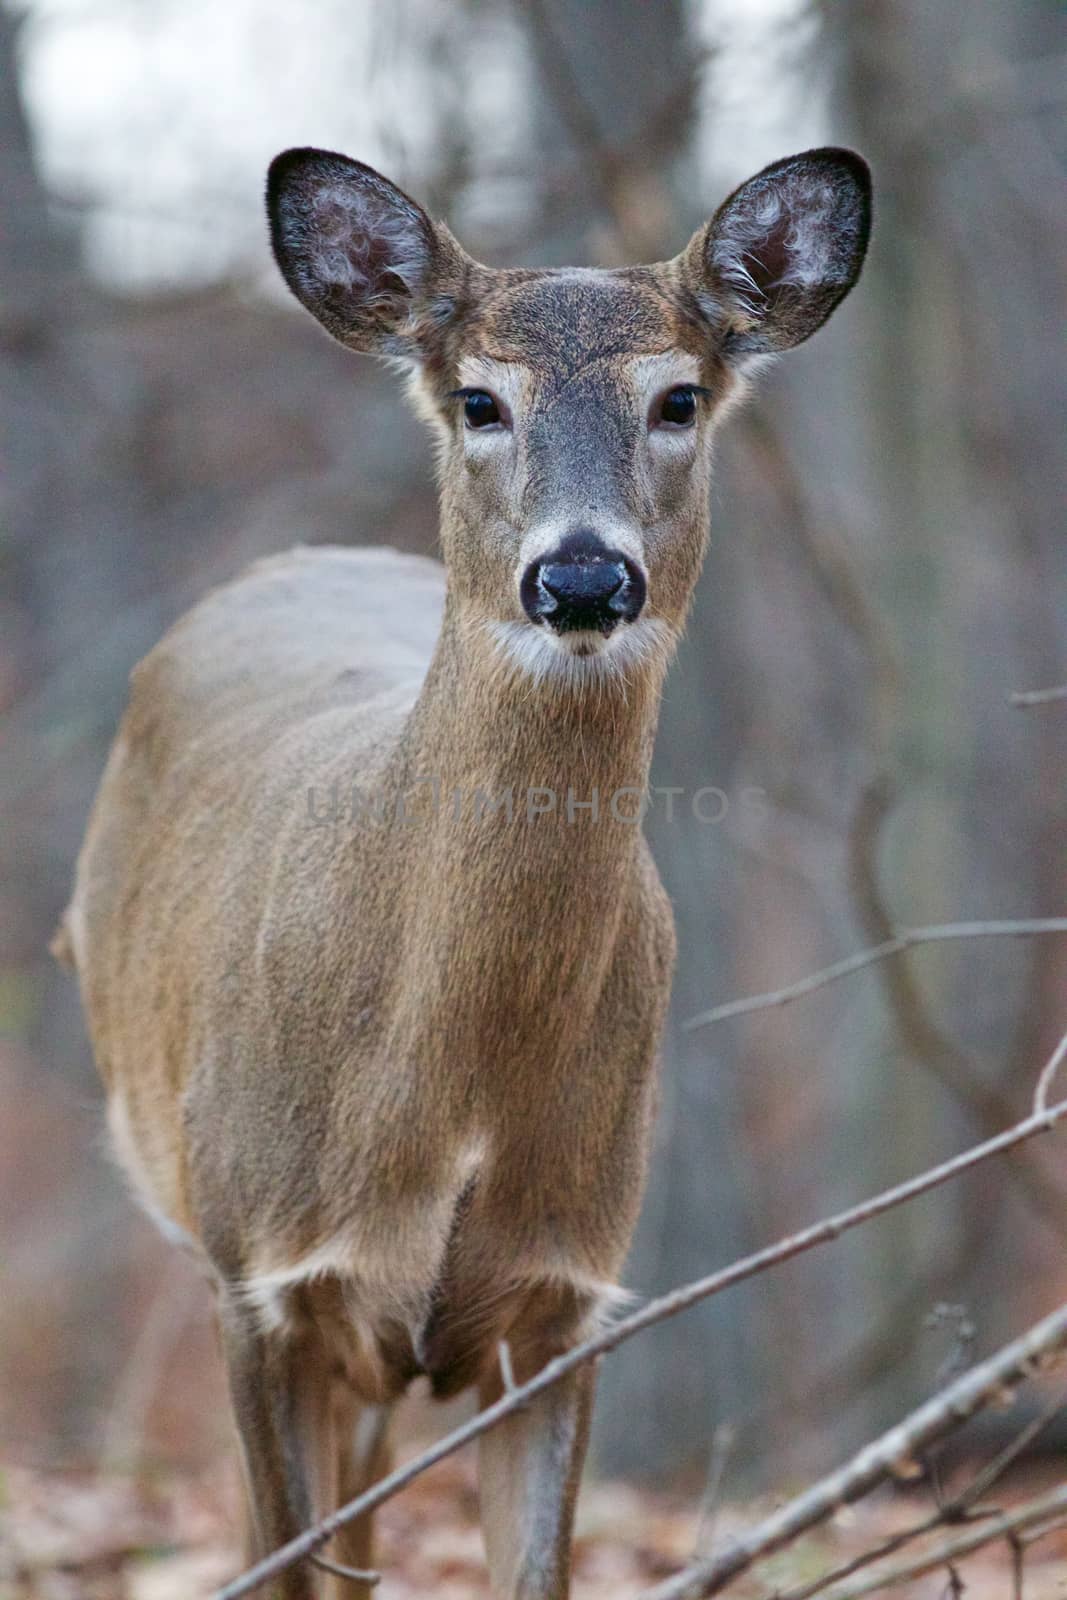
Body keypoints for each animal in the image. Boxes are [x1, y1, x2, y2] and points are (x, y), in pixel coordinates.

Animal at [58, 144, 870, 1593]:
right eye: (479, 400)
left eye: (676, 396)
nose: (582, 575)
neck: (449, 1089)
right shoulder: (258, 1274)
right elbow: (286, 1561)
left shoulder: (563, 1295)